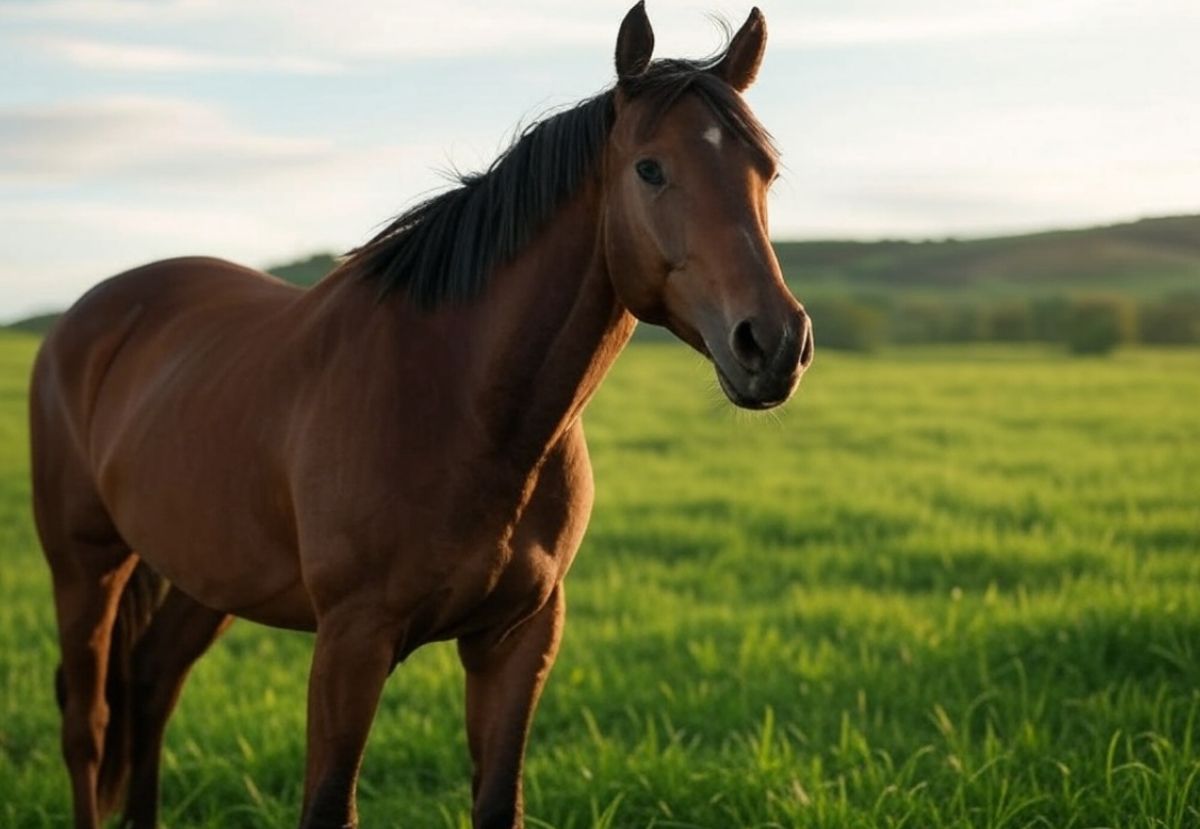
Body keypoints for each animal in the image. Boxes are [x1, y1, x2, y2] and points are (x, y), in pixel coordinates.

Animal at [29, 4, 812, 827]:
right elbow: (329, 803)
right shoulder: (352, 641)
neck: (465, 405)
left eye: (766, 171)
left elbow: (499, 801)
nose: (773, 342)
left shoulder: (517, 638)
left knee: (152, 683)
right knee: (88, 724)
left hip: (207, 572)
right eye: (651, 169)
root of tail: (88, 314)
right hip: (84, 564)